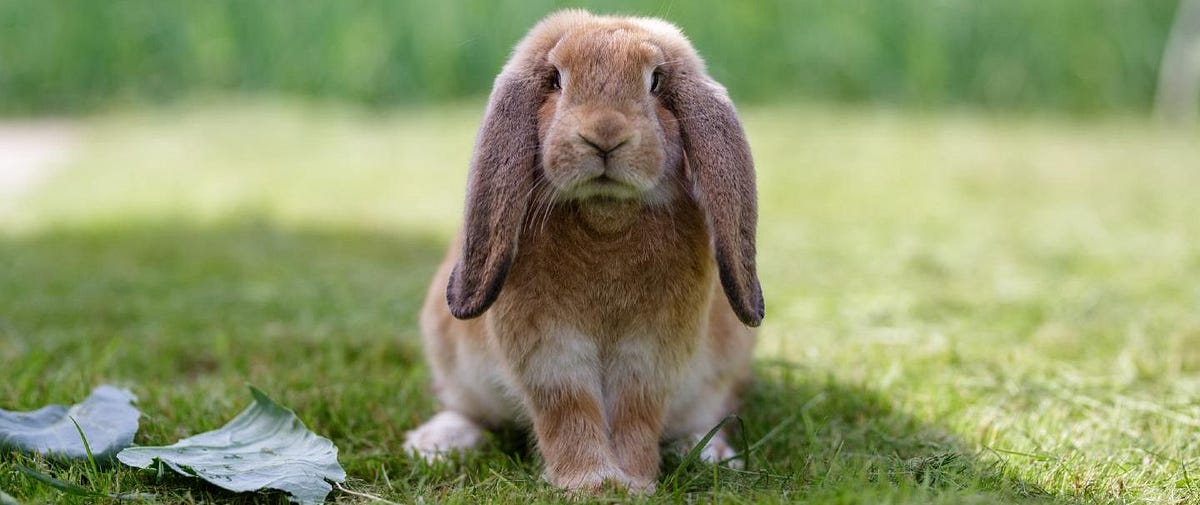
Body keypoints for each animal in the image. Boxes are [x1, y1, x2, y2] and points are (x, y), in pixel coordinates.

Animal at [403, 9, 763, 493]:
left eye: (656, 82)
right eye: (555, 80)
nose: (604, 134)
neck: (605, 218)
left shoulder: (651, 356)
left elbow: (636, 414)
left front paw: (632, 483)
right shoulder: (550, 353)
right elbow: (568, 409)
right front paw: (591, 483)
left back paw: (714, 455)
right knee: (468, 410)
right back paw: (434, 445)